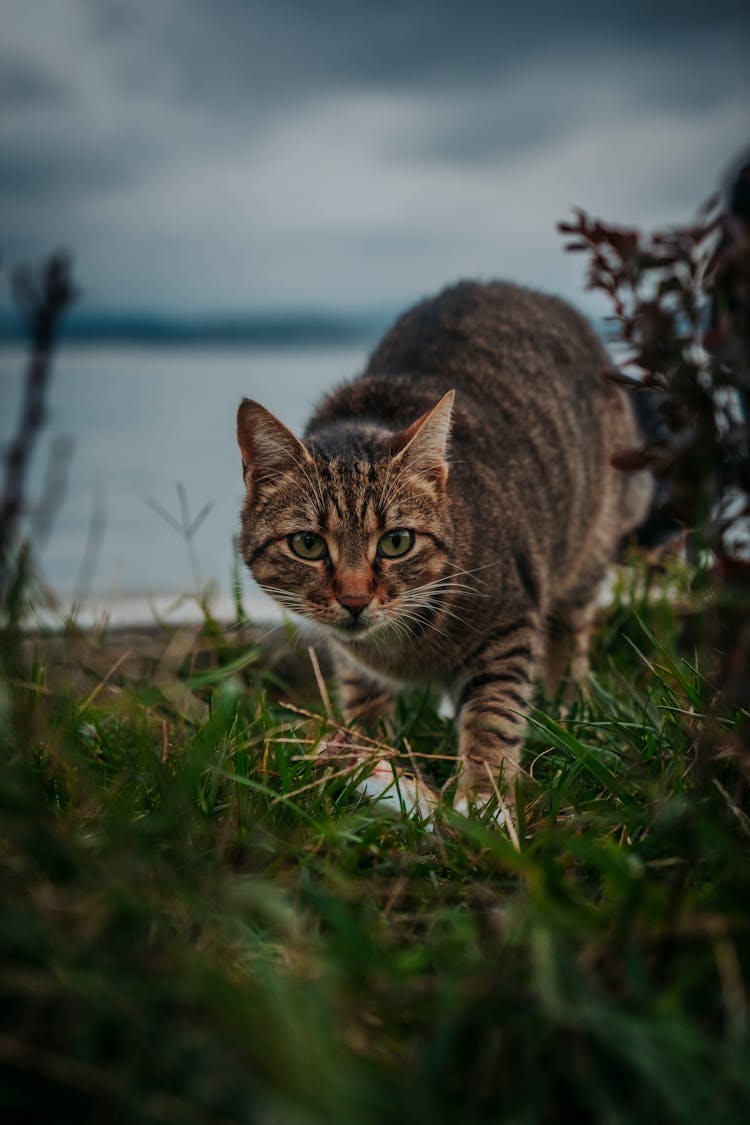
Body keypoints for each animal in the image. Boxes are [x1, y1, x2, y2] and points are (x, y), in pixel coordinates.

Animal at [235, 283, 652, 819]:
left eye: (396, 542)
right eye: (308, 544)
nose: (354, 600)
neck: (394, 647)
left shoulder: (508, 625)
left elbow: (494, 714)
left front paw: (482, 799)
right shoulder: (355, 661)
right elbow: (362, 693)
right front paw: (368, 754)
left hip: (590, 545)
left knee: (570, 630)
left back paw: (568, 706)